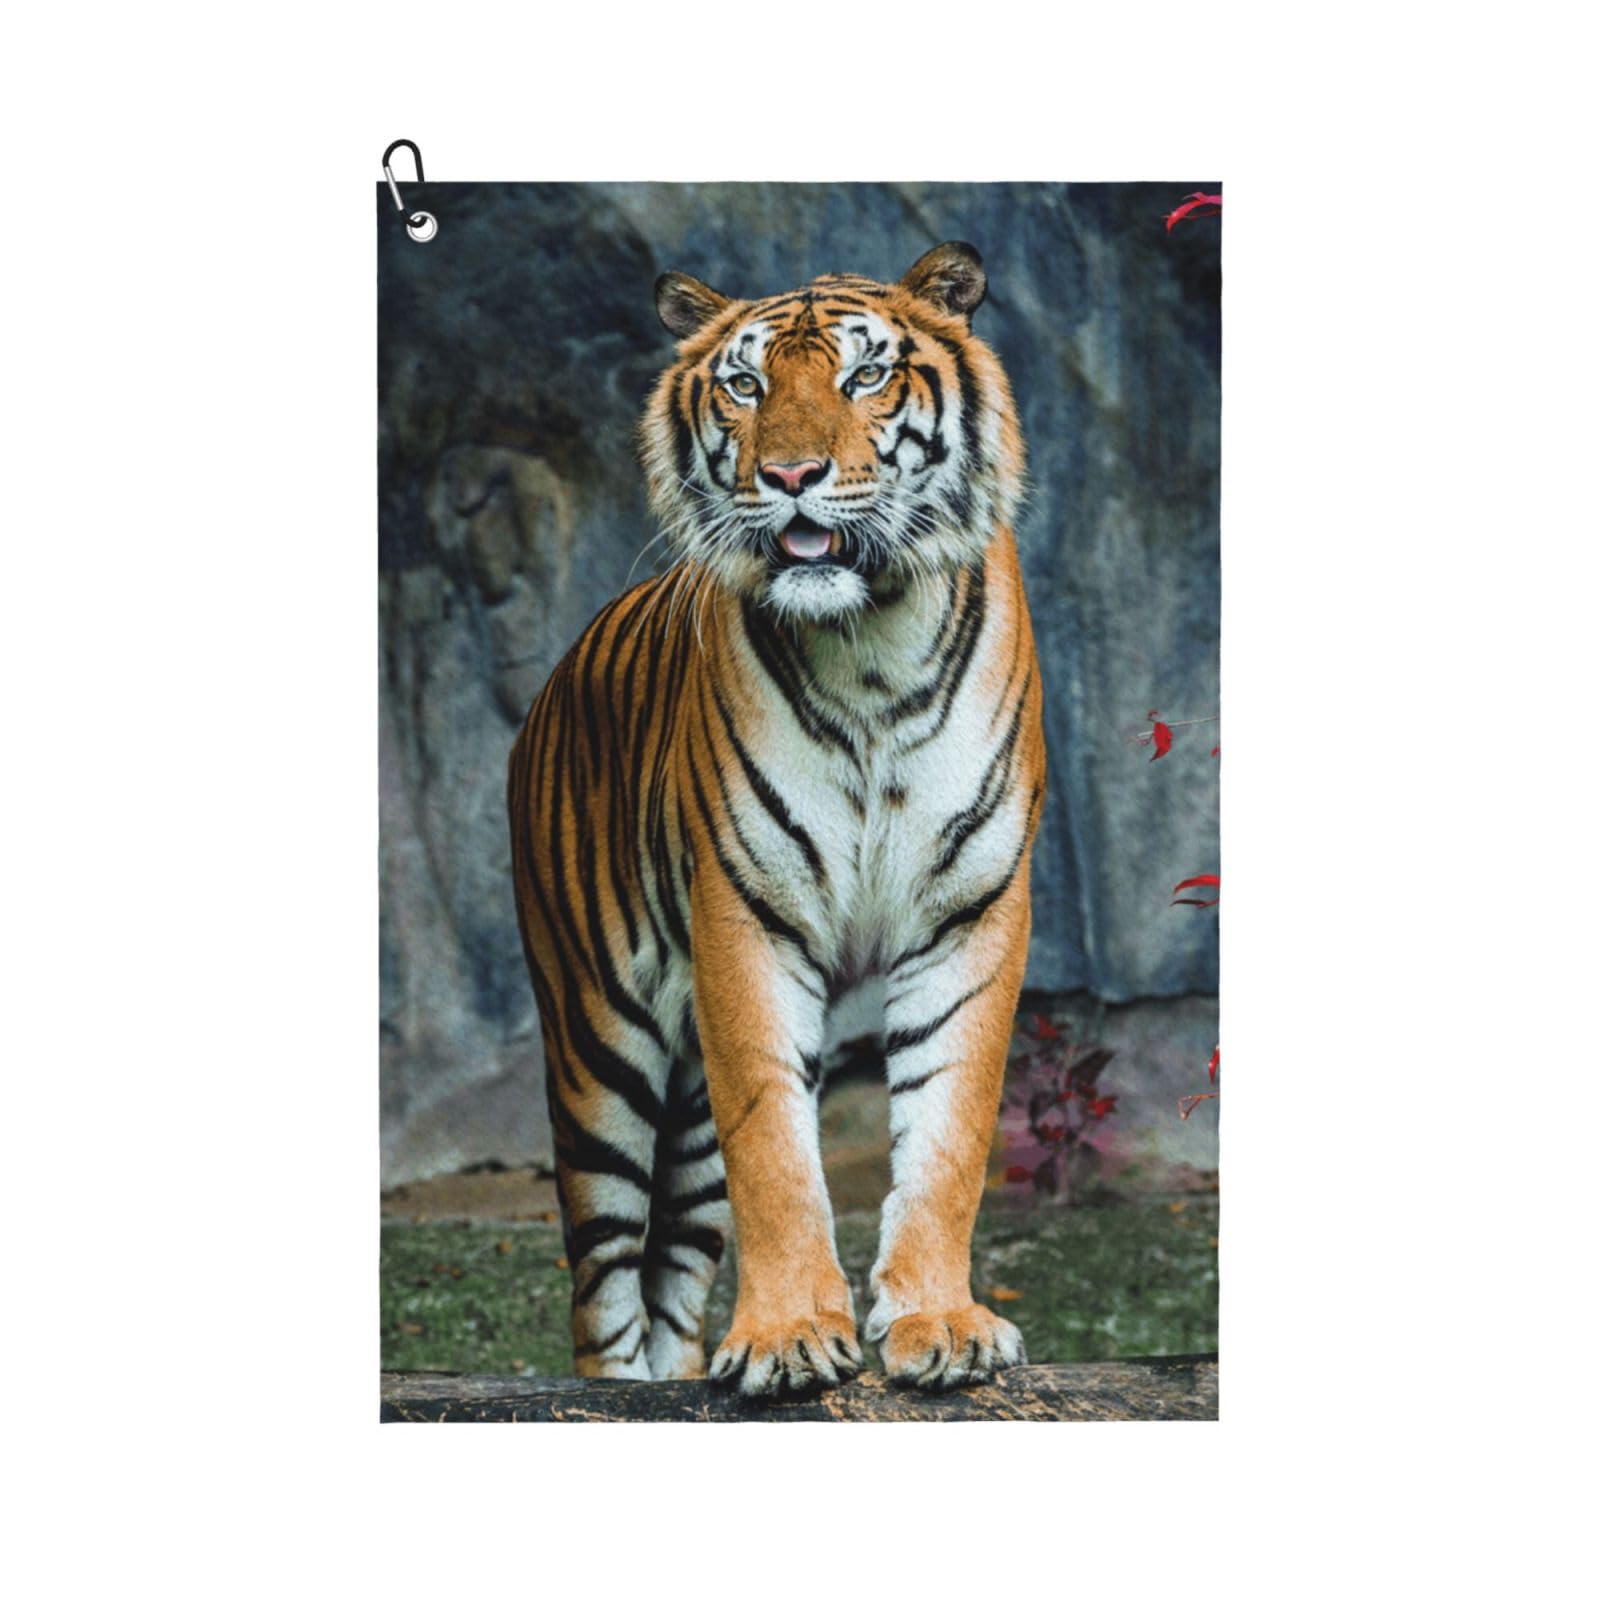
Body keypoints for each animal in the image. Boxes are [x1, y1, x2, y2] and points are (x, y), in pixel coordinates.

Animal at [507, 241, 1045, 1398]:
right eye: (746, 386)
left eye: (864, 377)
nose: (791, 476)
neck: (871, 644)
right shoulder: (744, 915)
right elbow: (776, 1150)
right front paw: (793, 1334)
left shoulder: (969, 911)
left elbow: (948, 1132)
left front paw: (940, 1324)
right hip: (596, 1046)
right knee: (603, 1293)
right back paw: (616, 1397)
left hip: (682, 1117)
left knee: (671, 1280)